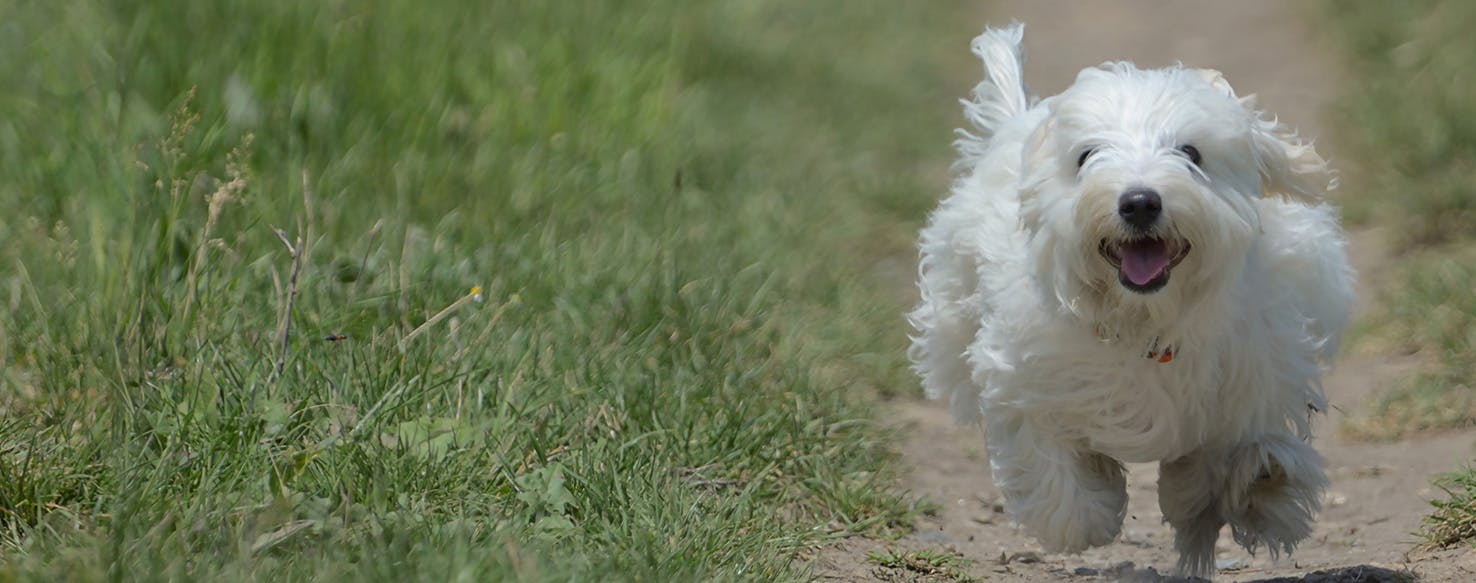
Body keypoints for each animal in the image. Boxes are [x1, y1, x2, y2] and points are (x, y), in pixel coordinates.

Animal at [915, 23, 1352, 578]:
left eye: (1191, 153)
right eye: (1086, 156)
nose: (1140, 202)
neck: (1147, 320)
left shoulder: (1252, 378)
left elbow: (1230, 458)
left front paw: (1257, 483)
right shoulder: (1028, 380)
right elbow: (1056, 474)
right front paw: (1090, 514)